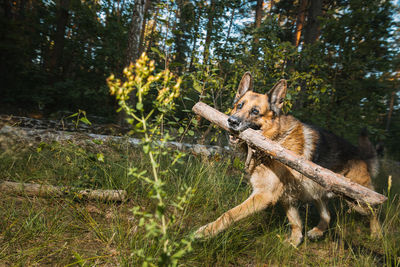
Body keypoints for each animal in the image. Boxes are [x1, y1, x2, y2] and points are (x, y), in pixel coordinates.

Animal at [195, 72, 380, 246]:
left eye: (255, 111)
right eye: (239, 106)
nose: (231, 121)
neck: (276, 139)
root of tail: (360, 154)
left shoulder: (264, 195)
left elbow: (229, 214)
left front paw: (205, 232)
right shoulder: (285, 196)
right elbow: (295, 221)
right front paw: (295, 240)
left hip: (359, 202)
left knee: (375, 210)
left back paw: (376, 233)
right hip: (317, 191)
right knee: (327, 215)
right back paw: (318, 231)